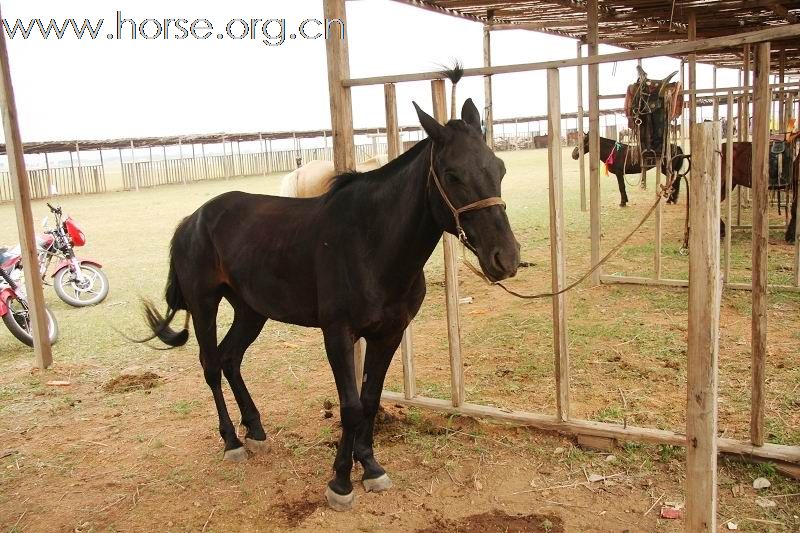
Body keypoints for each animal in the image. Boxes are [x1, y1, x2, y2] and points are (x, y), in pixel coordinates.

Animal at [141, 100, 520, 512]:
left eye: (499, 168)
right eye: (452, 175)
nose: (505, 258)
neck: (370, 244)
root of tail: (192, 220)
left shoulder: (389, 334)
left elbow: (369, 401)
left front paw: (369, 467)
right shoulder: (338, 334)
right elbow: (350, 407)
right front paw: (340, 481)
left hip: (251, 309)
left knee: (230, 358)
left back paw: (255, 428)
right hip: (204, 303)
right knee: (211, 365)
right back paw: (232, 441)